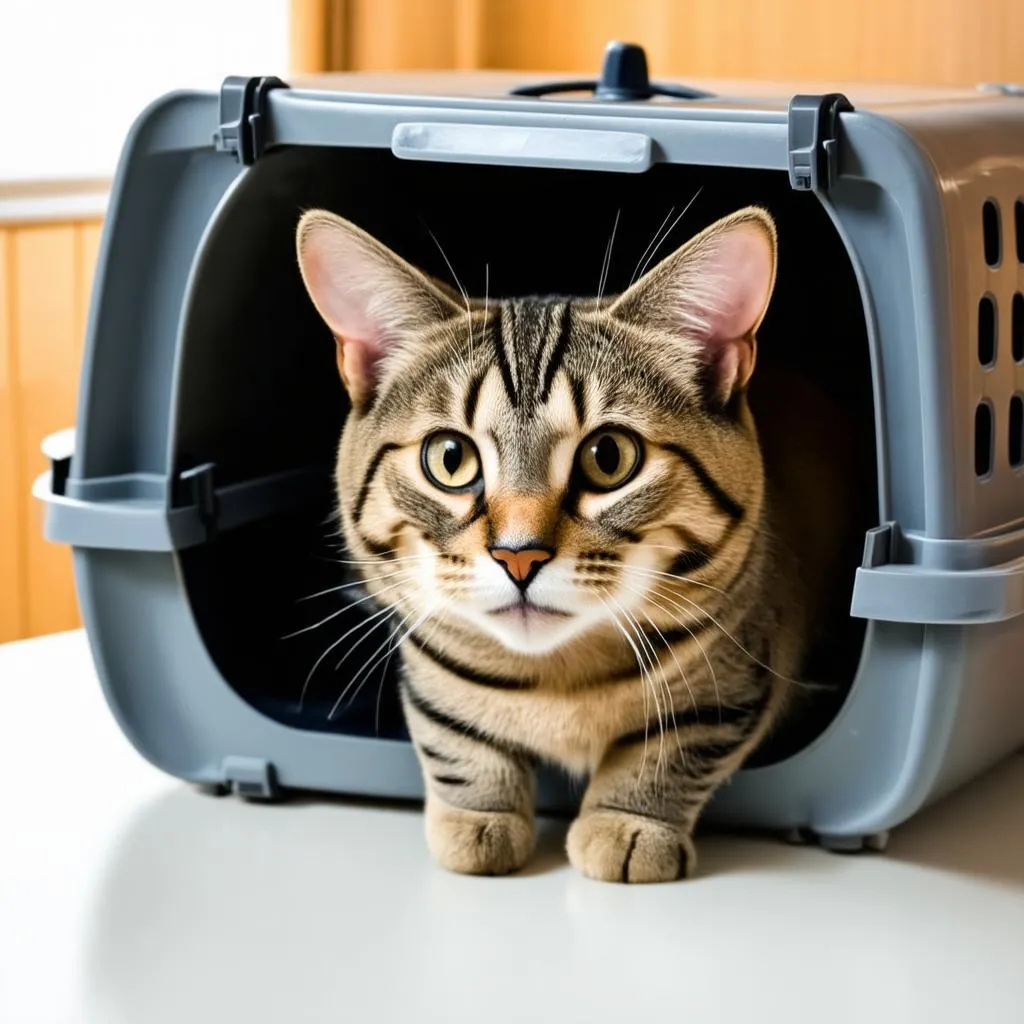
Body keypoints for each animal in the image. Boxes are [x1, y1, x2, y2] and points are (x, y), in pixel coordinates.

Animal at [299, 205, 864, 880]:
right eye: (450, 458)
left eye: (609, 457)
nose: (518, 554)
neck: (556, 677)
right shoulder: (425, 654)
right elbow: (451, 730)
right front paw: (477, 814)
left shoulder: (743, 670)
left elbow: (673, 744)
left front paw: (628, 822)